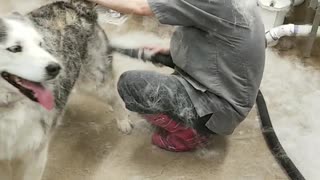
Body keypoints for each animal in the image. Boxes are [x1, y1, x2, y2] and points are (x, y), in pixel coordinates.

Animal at [0, 0, 132, 179]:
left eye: (40, 44)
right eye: (15, 48)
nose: (56, 68)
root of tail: (73, 4)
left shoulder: (36, 152)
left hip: (94, 82)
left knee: (114, 94)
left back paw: (123, 119)